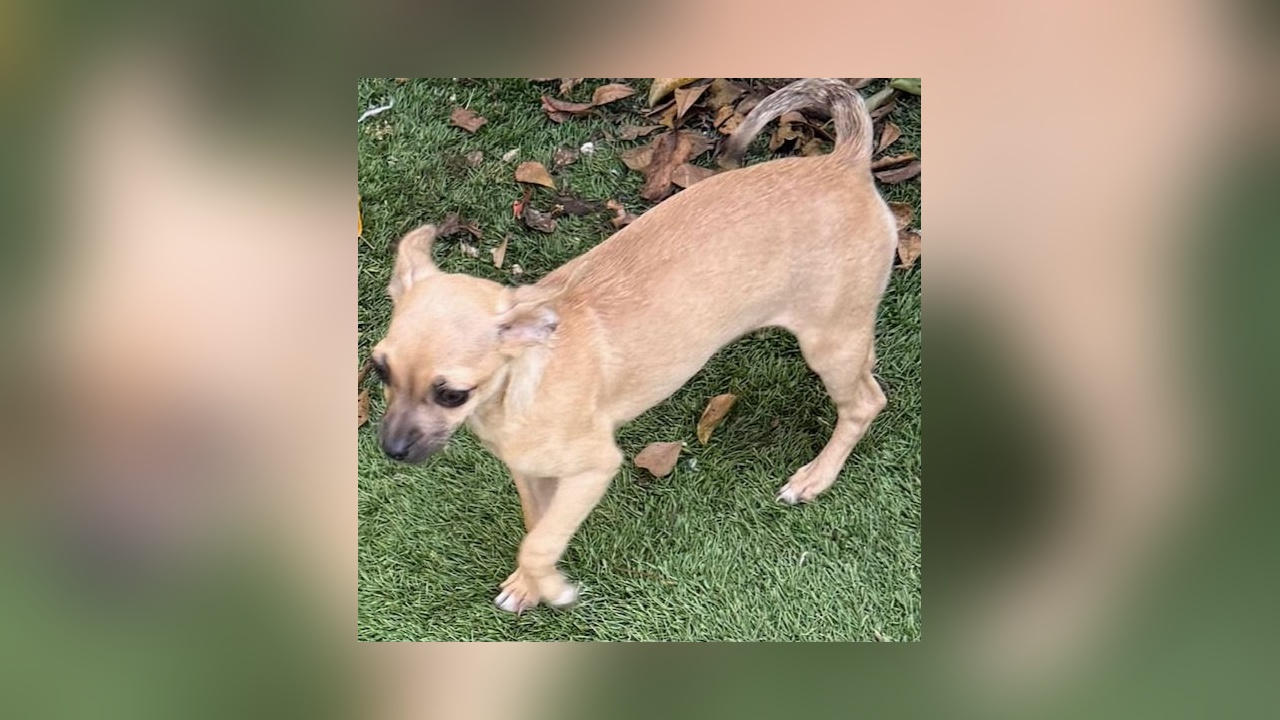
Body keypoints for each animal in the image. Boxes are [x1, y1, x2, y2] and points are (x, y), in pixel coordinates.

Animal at [370, 78, 898, 612]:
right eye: (379, 371)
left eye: (451, 394)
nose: (391, 450)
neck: (519, 387)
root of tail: (844, 161)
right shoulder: (530, 472)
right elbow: (536, 526)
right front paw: (528, 586)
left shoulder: (594, 468)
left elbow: (539, 542)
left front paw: (551, 586)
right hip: (844, 328)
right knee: (868, 367)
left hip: (827, 345)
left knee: (866, 403)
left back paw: (816, 476)